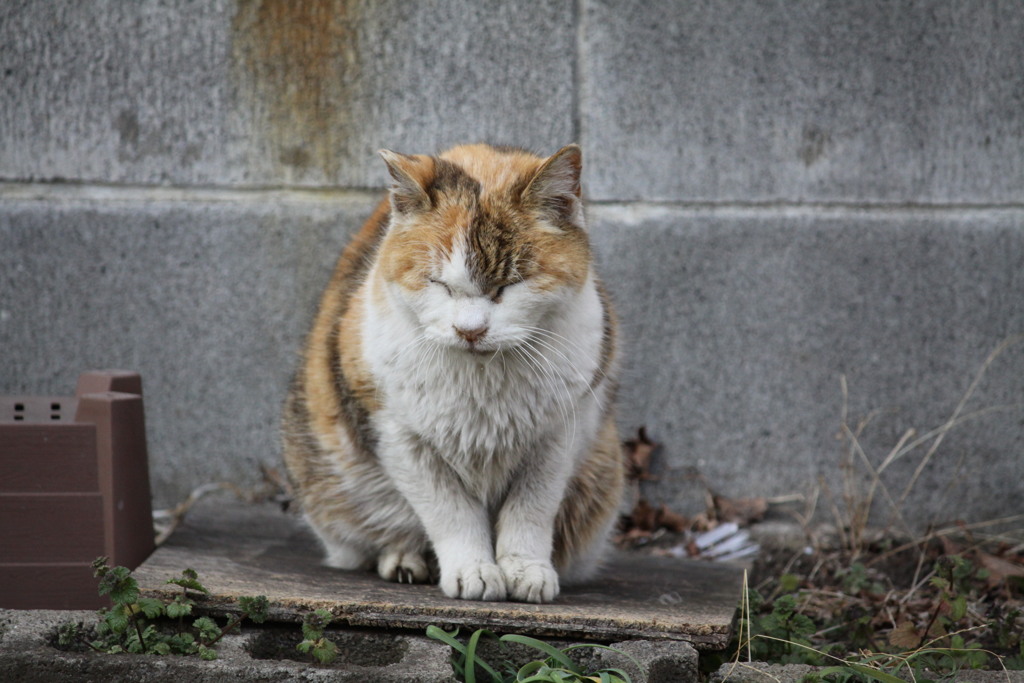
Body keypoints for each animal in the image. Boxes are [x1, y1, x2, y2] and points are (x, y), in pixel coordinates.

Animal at [282, 143, 622, 602]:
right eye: (438, 284)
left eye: (509, 285)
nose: (470, 330)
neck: (482, 383)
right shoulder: (398, 435)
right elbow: (450, 511)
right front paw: (473, 570)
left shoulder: (559, 435)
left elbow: (531, 508)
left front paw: (526, 569)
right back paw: (405, 560)